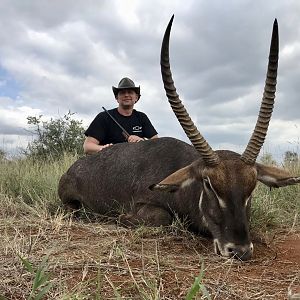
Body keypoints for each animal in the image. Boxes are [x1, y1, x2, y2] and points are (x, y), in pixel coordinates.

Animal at [58, 16, 300, 260]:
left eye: (252, 187)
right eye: (208, 184)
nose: (239, 250)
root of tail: (72, 168)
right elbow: (163, 217)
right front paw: (121, 218)